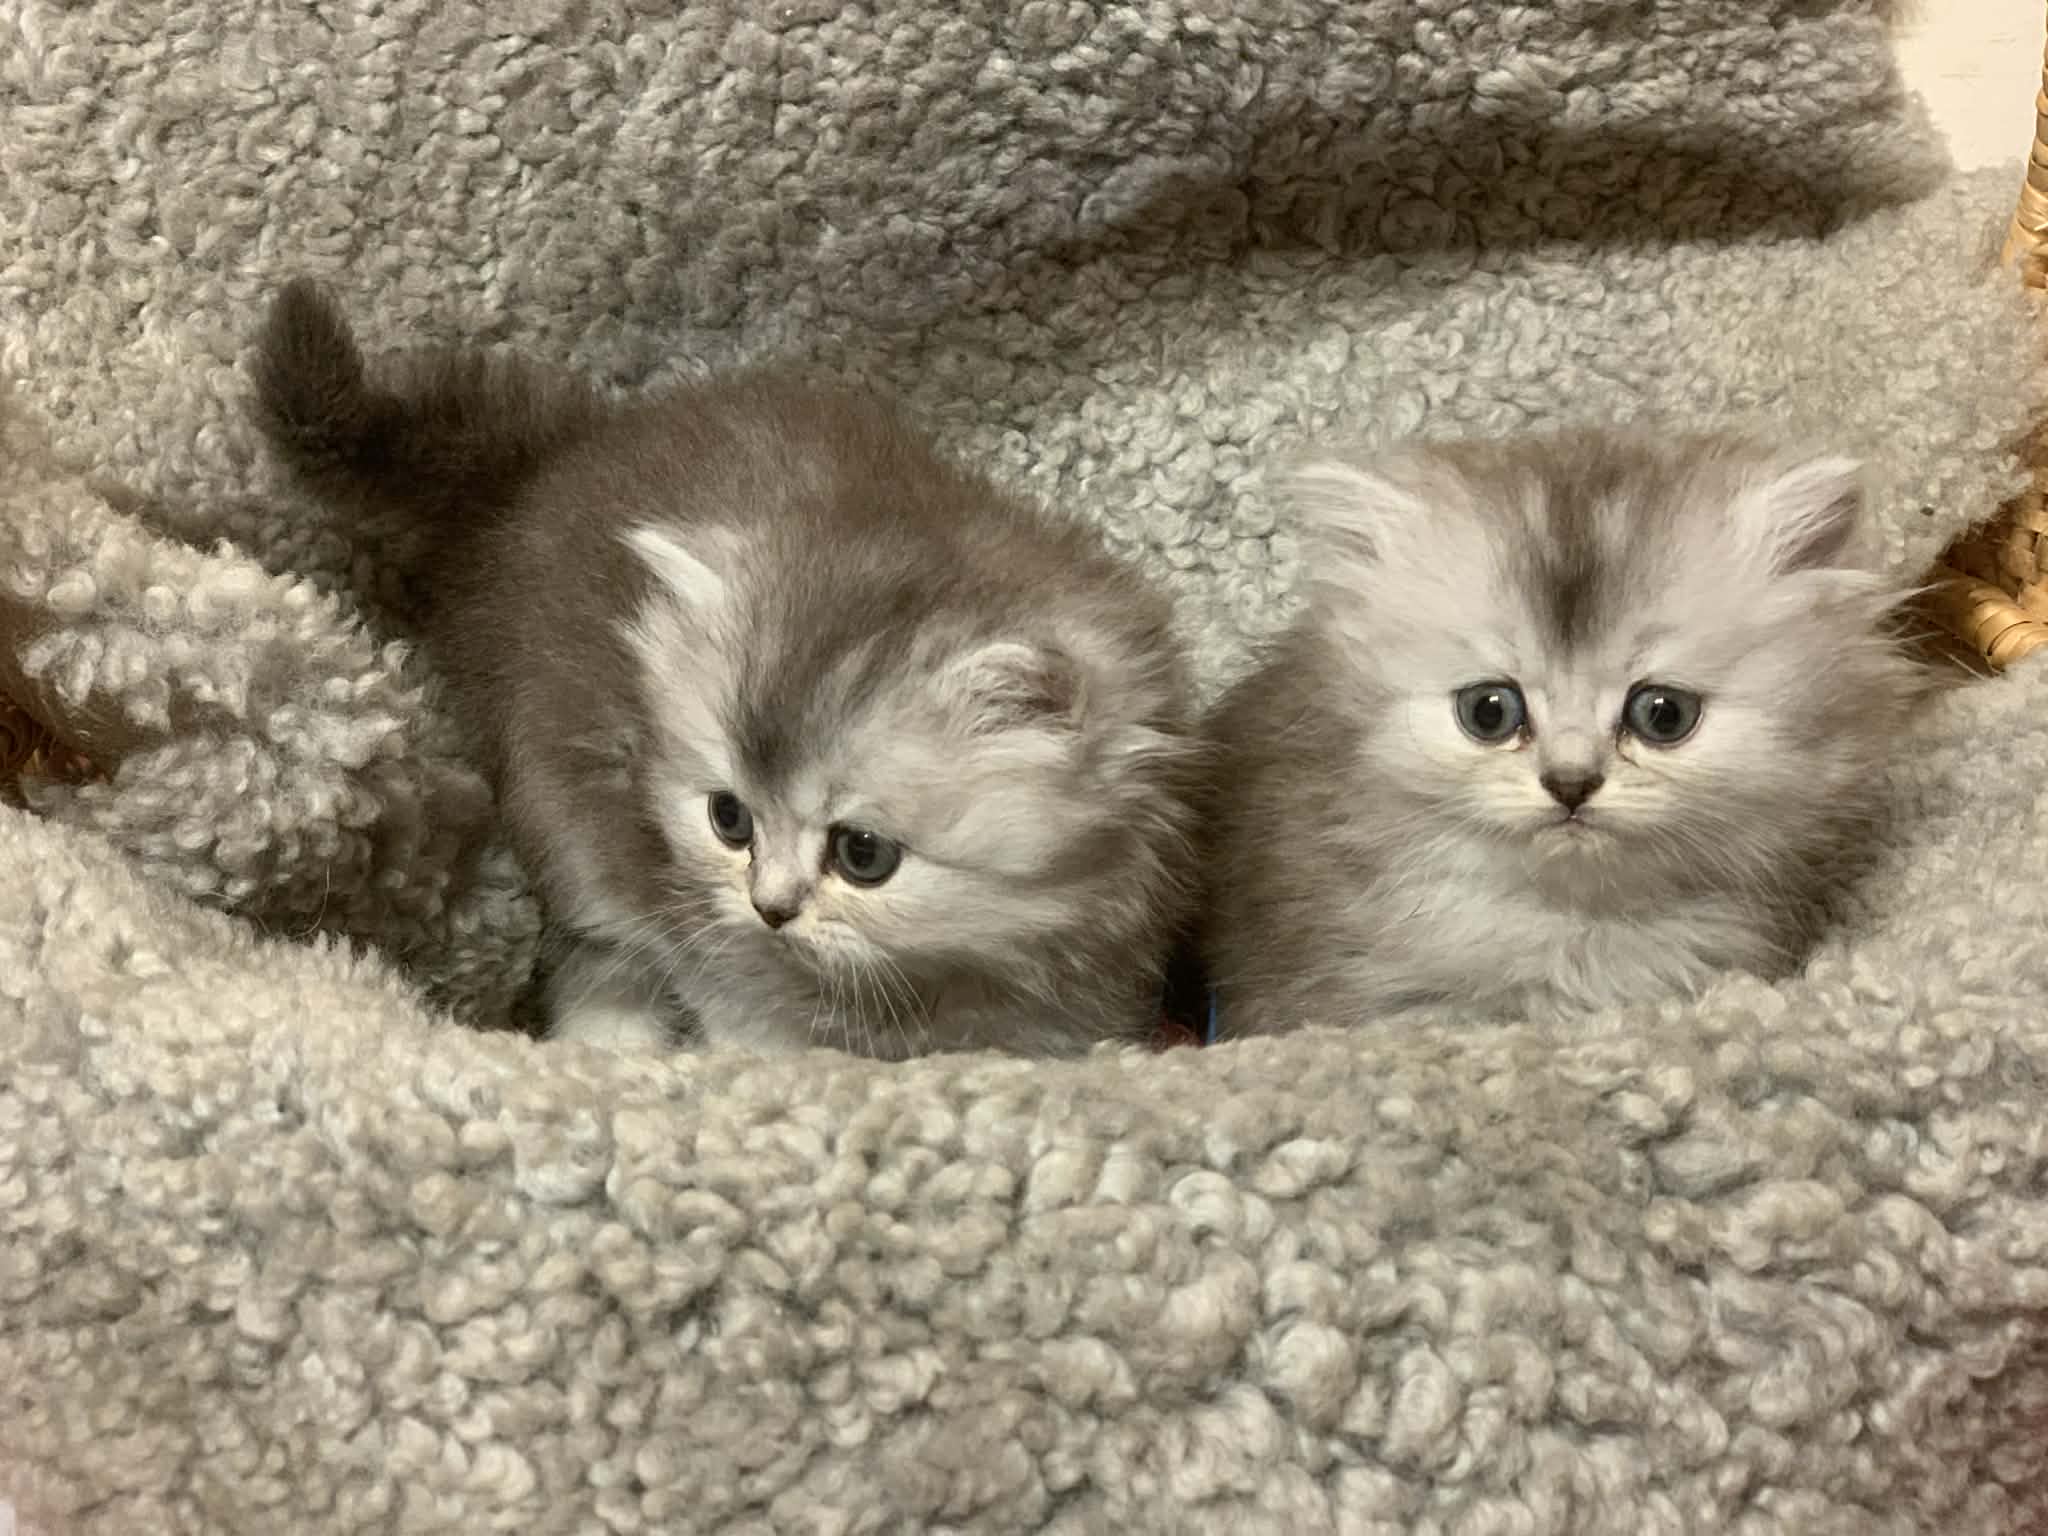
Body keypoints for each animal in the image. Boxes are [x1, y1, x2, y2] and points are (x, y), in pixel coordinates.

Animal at [250, 279, 1203, 1057]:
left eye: (862, 854)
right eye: (729, 820)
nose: (770, 909)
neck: (934, 977)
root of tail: (544, 467)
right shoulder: (702, 937)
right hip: (568, 822)